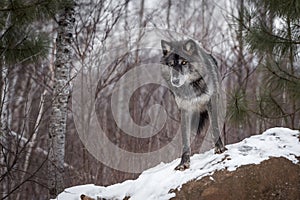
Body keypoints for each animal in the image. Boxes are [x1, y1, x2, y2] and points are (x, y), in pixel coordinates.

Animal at [161, 39, 226, 170]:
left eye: (184, 62)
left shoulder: (211, 102)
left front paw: (219, 148)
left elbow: (215, 128)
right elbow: (185, 140)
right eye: (171, 64)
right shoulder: (185, 110)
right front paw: (184, 163)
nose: (175, 81)